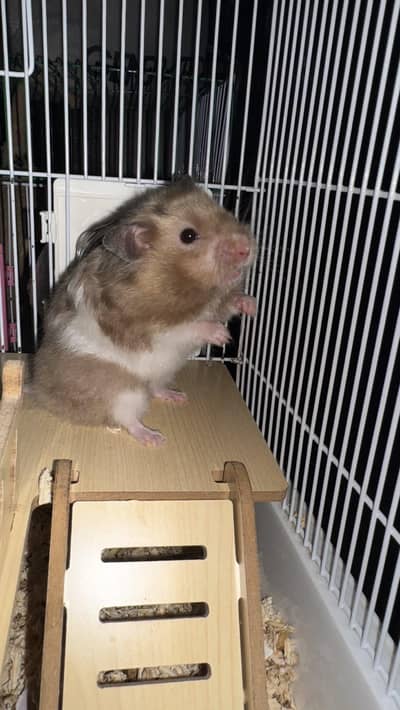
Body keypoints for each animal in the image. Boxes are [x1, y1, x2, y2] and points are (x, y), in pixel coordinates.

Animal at [33, 177, 257, 446]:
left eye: (225, 211)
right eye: (188, 235)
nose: (247, 247)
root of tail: (41, 392)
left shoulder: (215, 304)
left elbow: (229, 305)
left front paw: (252, 305)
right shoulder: (148, 328)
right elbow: (187, 327)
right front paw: (223, 336)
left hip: (164, 372)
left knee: (156, 389)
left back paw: (177, 397)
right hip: (124, 392)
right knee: (127, 419)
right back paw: (154, 438)